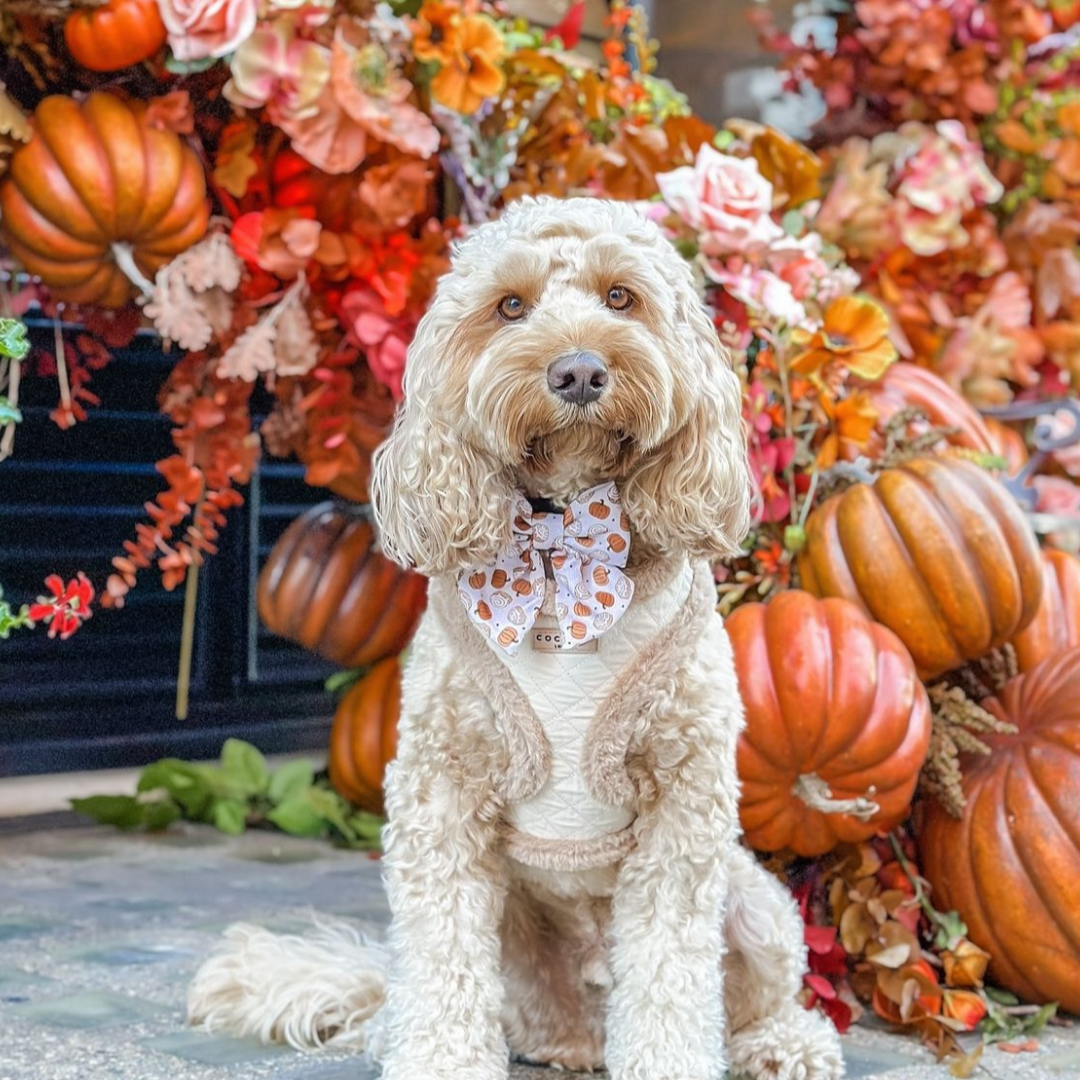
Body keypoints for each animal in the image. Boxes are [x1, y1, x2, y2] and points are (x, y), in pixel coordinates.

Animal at [185, 196, 842, 1080]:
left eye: (621, 297)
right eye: (509, 307)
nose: (579, 371)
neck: (563, 543)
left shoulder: (685, 800)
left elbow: (671, 972)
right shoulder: (442, 789)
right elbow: (443, 958)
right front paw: (438, 1062)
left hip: (755, 904)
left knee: (746, 997)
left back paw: (781, 1042)